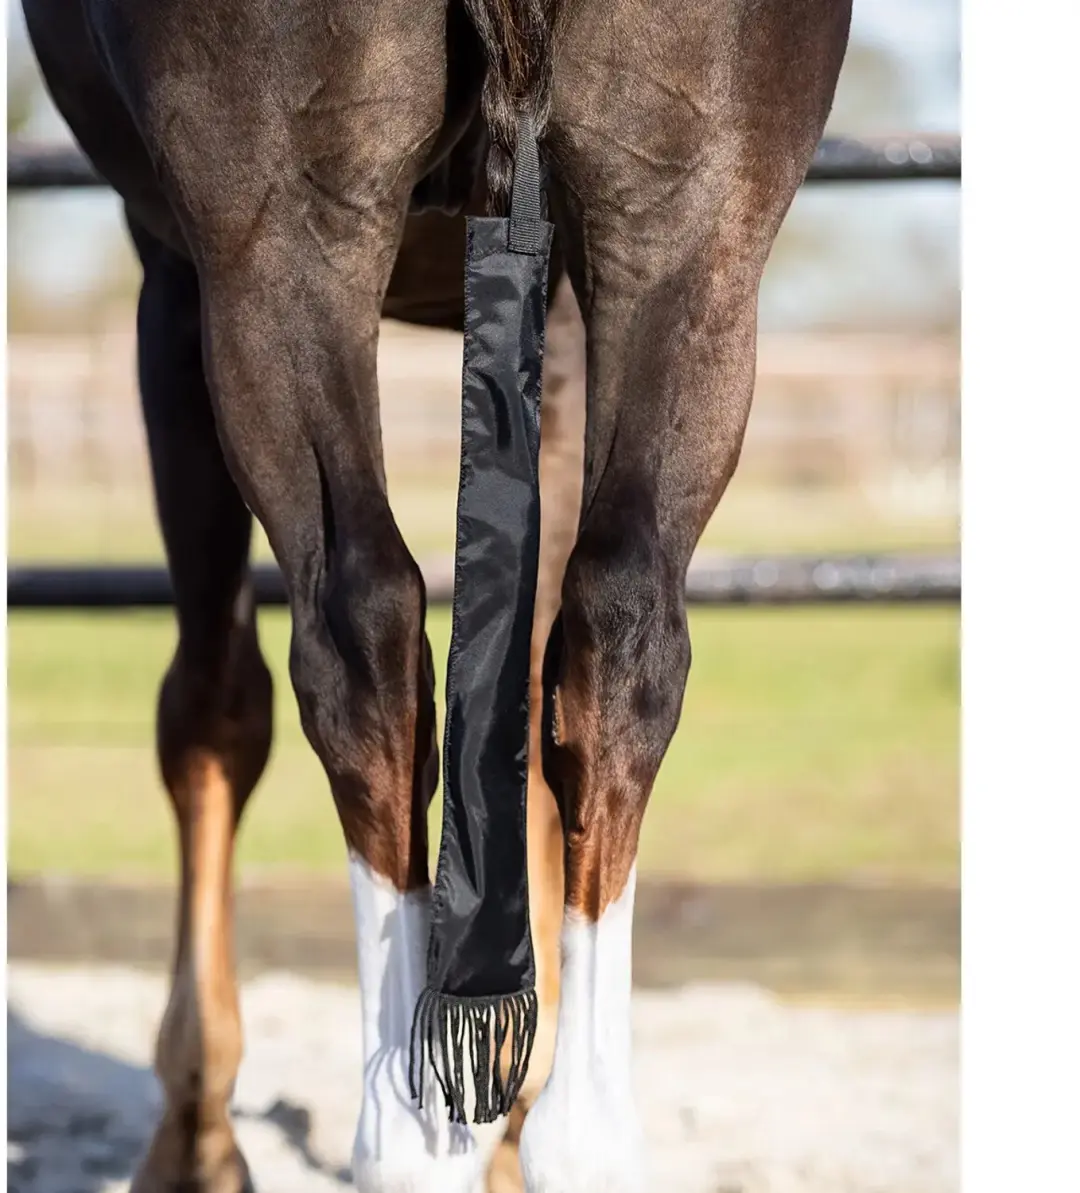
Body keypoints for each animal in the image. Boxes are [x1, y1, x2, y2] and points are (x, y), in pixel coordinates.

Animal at [21, 0, 851, 1190]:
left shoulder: (171, 268)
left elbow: (213, 711)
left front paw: (196, 1137)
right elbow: (532, 719)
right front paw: (511, 1107)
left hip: (281, 252)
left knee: (359, 634)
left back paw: (409, 1135)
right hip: (689, 230)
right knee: (619, 640)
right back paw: (575, 1134)